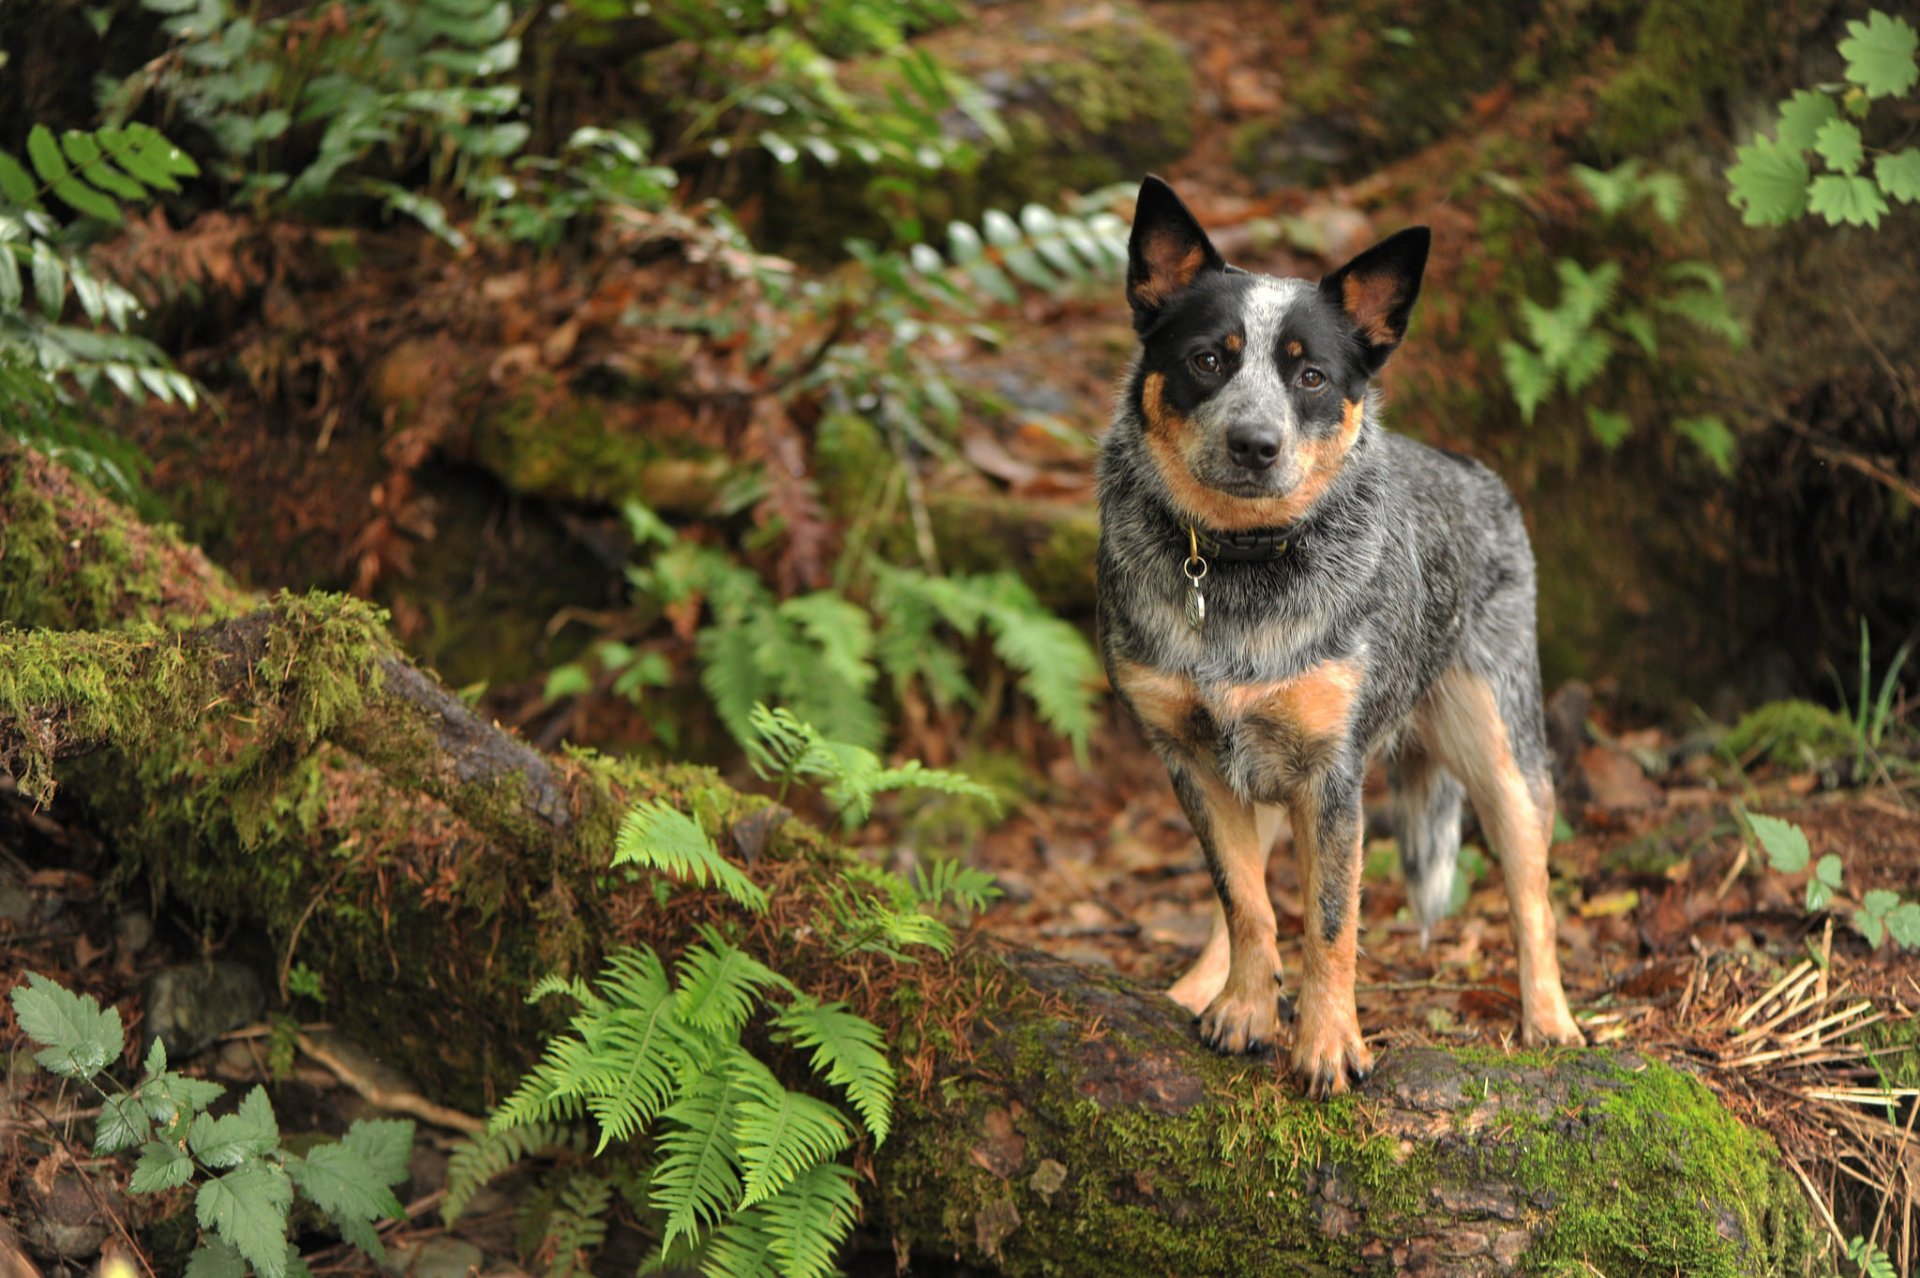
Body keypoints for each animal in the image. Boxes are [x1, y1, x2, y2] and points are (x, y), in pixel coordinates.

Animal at [1090, 176, 1582, 1097]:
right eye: (1209, 359)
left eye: (1312, 375)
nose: (1255, 443)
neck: (1239, 567)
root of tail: (1473, 470)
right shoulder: (1192, 756)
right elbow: (1244, 901)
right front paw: (1245, 1012)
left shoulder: (1332, 775)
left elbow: (1330, 923)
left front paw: (1328, 1047)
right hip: (1258, 768)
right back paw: (1197, 988)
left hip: (1501, 745)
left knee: (1530, 888)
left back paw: (1552, 1023)